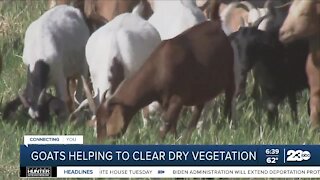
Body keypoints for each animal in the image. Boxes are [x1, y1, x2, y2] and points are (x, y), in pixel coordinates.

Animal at [94, 13, 235, 141]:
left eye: (104, 123)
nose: (101, 142)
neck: (159, 68)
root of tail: (217, 25)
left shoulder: (178, 98)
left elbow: (167, 121)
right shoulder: (165, 101)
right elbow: (172, 123)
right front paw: (175, 139)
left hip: (229, 75)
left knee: (228, 100)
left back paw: (228, 126)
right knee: (198, 109)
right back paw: (187, 136)